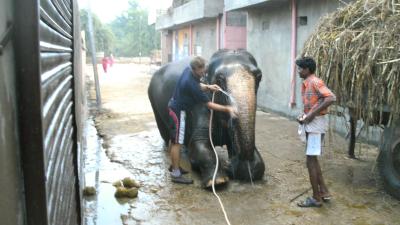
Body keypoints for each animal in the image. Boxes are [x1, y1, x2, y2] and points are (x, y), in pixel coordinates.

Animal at [148, 49, 266, 188]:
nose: (230, 164)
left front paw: (240, 170)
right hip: (154, 101)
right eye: (219, 79)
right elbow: (199, 146)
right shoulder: (198, 102)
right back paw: (170, 149)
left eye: (259, 76)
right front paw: (218, 180)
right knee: (168, 134)